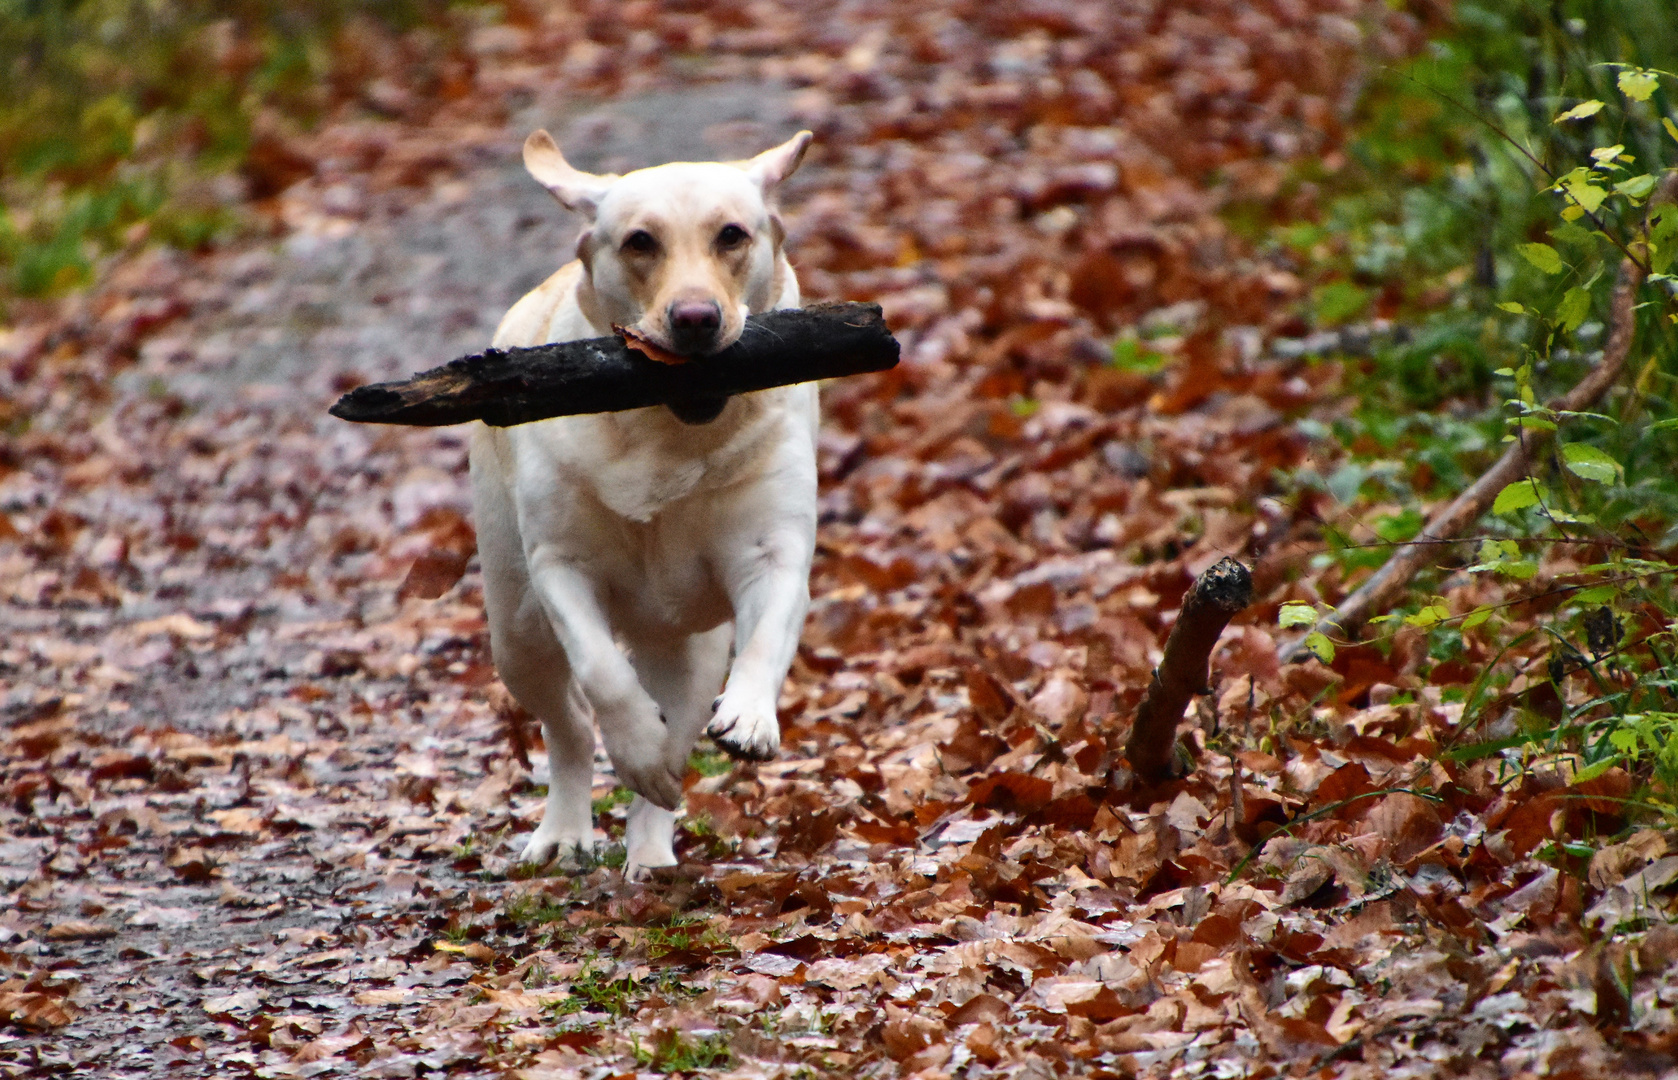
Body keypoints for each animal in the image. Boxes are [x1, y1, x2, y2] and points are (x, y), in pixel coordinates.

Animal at [473, 126, 818, 878]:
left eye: (731, 235)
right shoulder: (559, 566)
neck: (667, 430)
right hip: (516, 629)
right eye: (640, 242)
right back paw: (565, 829)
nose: (695, 318)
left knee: (679, 728)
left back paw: (653, 848)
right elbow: (602, 674)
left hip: (690, 649)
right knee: (569, 726)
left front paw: (751, 718)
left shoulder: (774, 549)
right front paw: (633, 746)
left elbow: (768, 636)